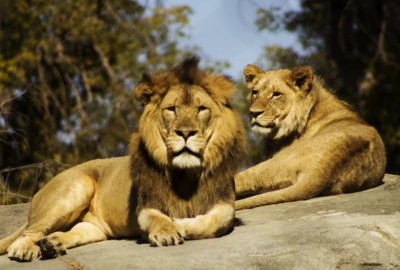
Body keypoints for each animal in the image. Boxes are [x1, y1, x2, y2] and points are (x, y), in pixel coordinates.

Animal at [0, 57, 245, 262]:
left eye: (201, 109)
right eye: (171, 109)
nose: (185, 132)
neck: (186, 173)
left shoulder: (224, 203)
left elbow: (214, 222)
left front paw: (181, 223)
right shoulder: (146, 207)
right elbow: (157, 218)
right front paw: (169, 229)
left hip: (92, 228)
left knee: (74, 231)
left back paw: (52, 244)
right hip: (72, 191)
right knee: (29, 232)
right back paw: (25, 249)